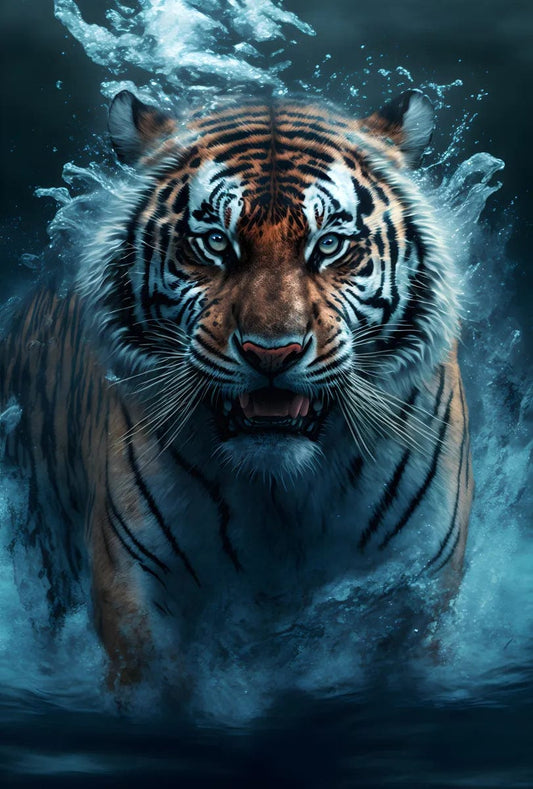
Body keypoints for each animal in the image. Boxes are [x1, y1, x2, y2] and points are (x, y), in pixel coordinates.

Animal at [0, 88, 473, 685]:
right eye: (213, 243)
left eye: (330, 245)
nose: (272, 352)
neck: (280, 494)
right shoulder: (133, 583)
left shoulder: (419, 578)